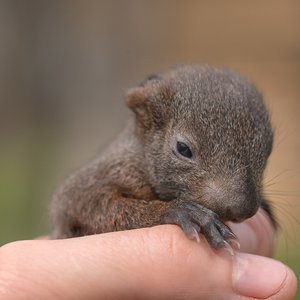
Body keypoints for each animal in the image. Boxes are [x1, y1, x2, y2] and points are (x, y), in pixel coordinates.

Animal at [50, 65, 276, 248]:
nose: (242, 209)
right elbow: (86, 203)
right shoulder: (96, 179)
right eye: (183, 148)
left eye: (268, 150)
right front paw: (178, 211)